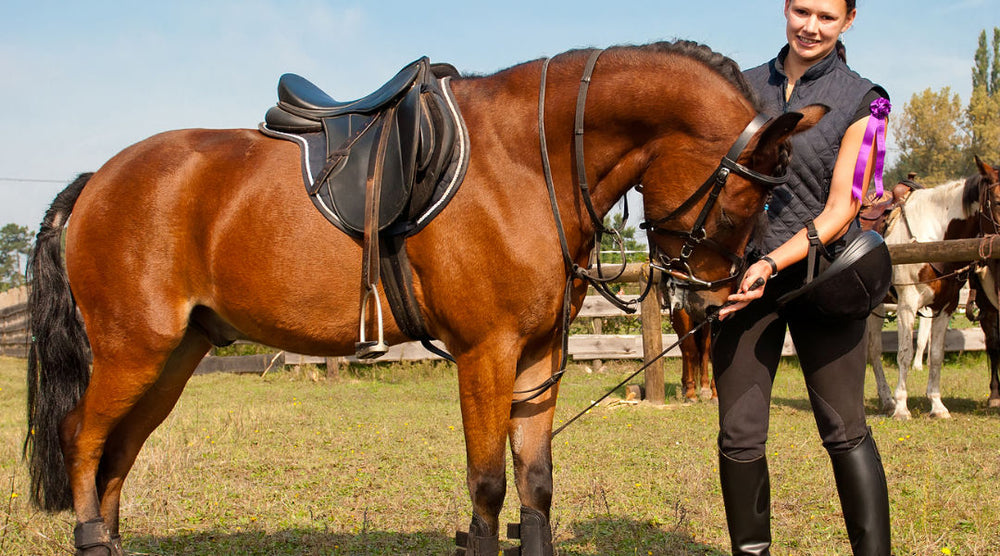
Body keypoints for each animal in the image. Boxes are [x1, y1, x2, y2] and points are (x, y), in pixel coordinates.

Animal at [25, 43, 820, 556]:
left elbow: (535, 486)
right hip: (132, 351)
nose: (711, 303)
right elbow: (488, 489)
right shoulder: (485, 353)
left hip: (175, 356)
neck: (523, 159)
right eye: (745, 196)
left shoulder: (539, 356)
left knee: (119, 454)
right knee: (84, 442)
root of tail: (97, 180)